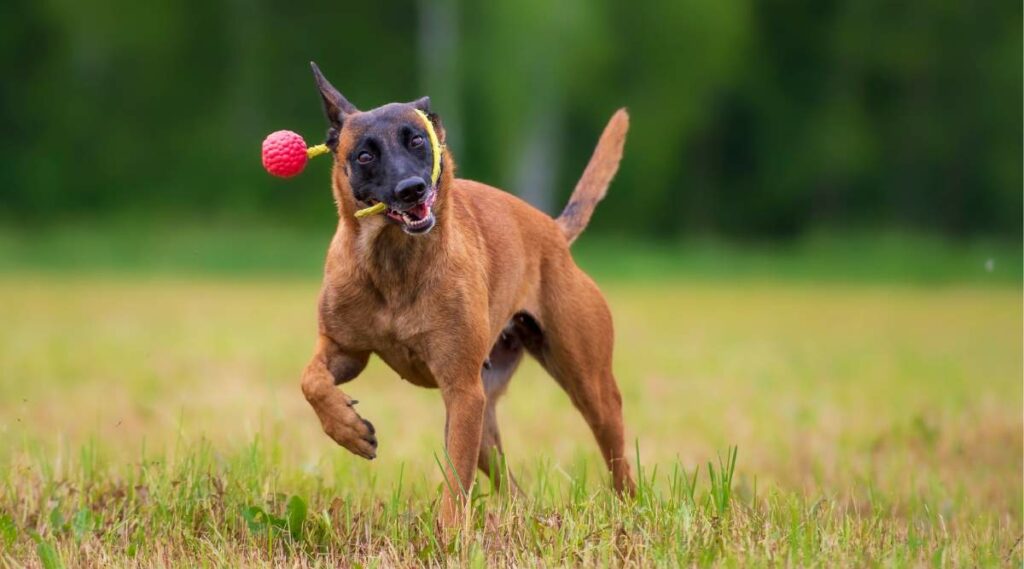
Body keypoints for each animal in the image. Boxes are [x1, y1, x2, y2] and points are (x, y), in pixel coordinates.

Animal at [299, 61, 630, 523]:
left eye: (417, 141)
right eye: (364, 155)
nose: (412, 189)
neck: (393, 264)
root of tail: (553, 231)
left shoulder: (460, 389)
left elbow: (456, 479)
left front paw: (450, 532)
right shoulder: (344, 350)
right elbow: (311, 380)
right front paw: (348, 430)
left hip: (586, 385)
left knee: (617, 457)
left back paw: (629, 511)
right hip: (484, 415)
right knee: (511, 485)